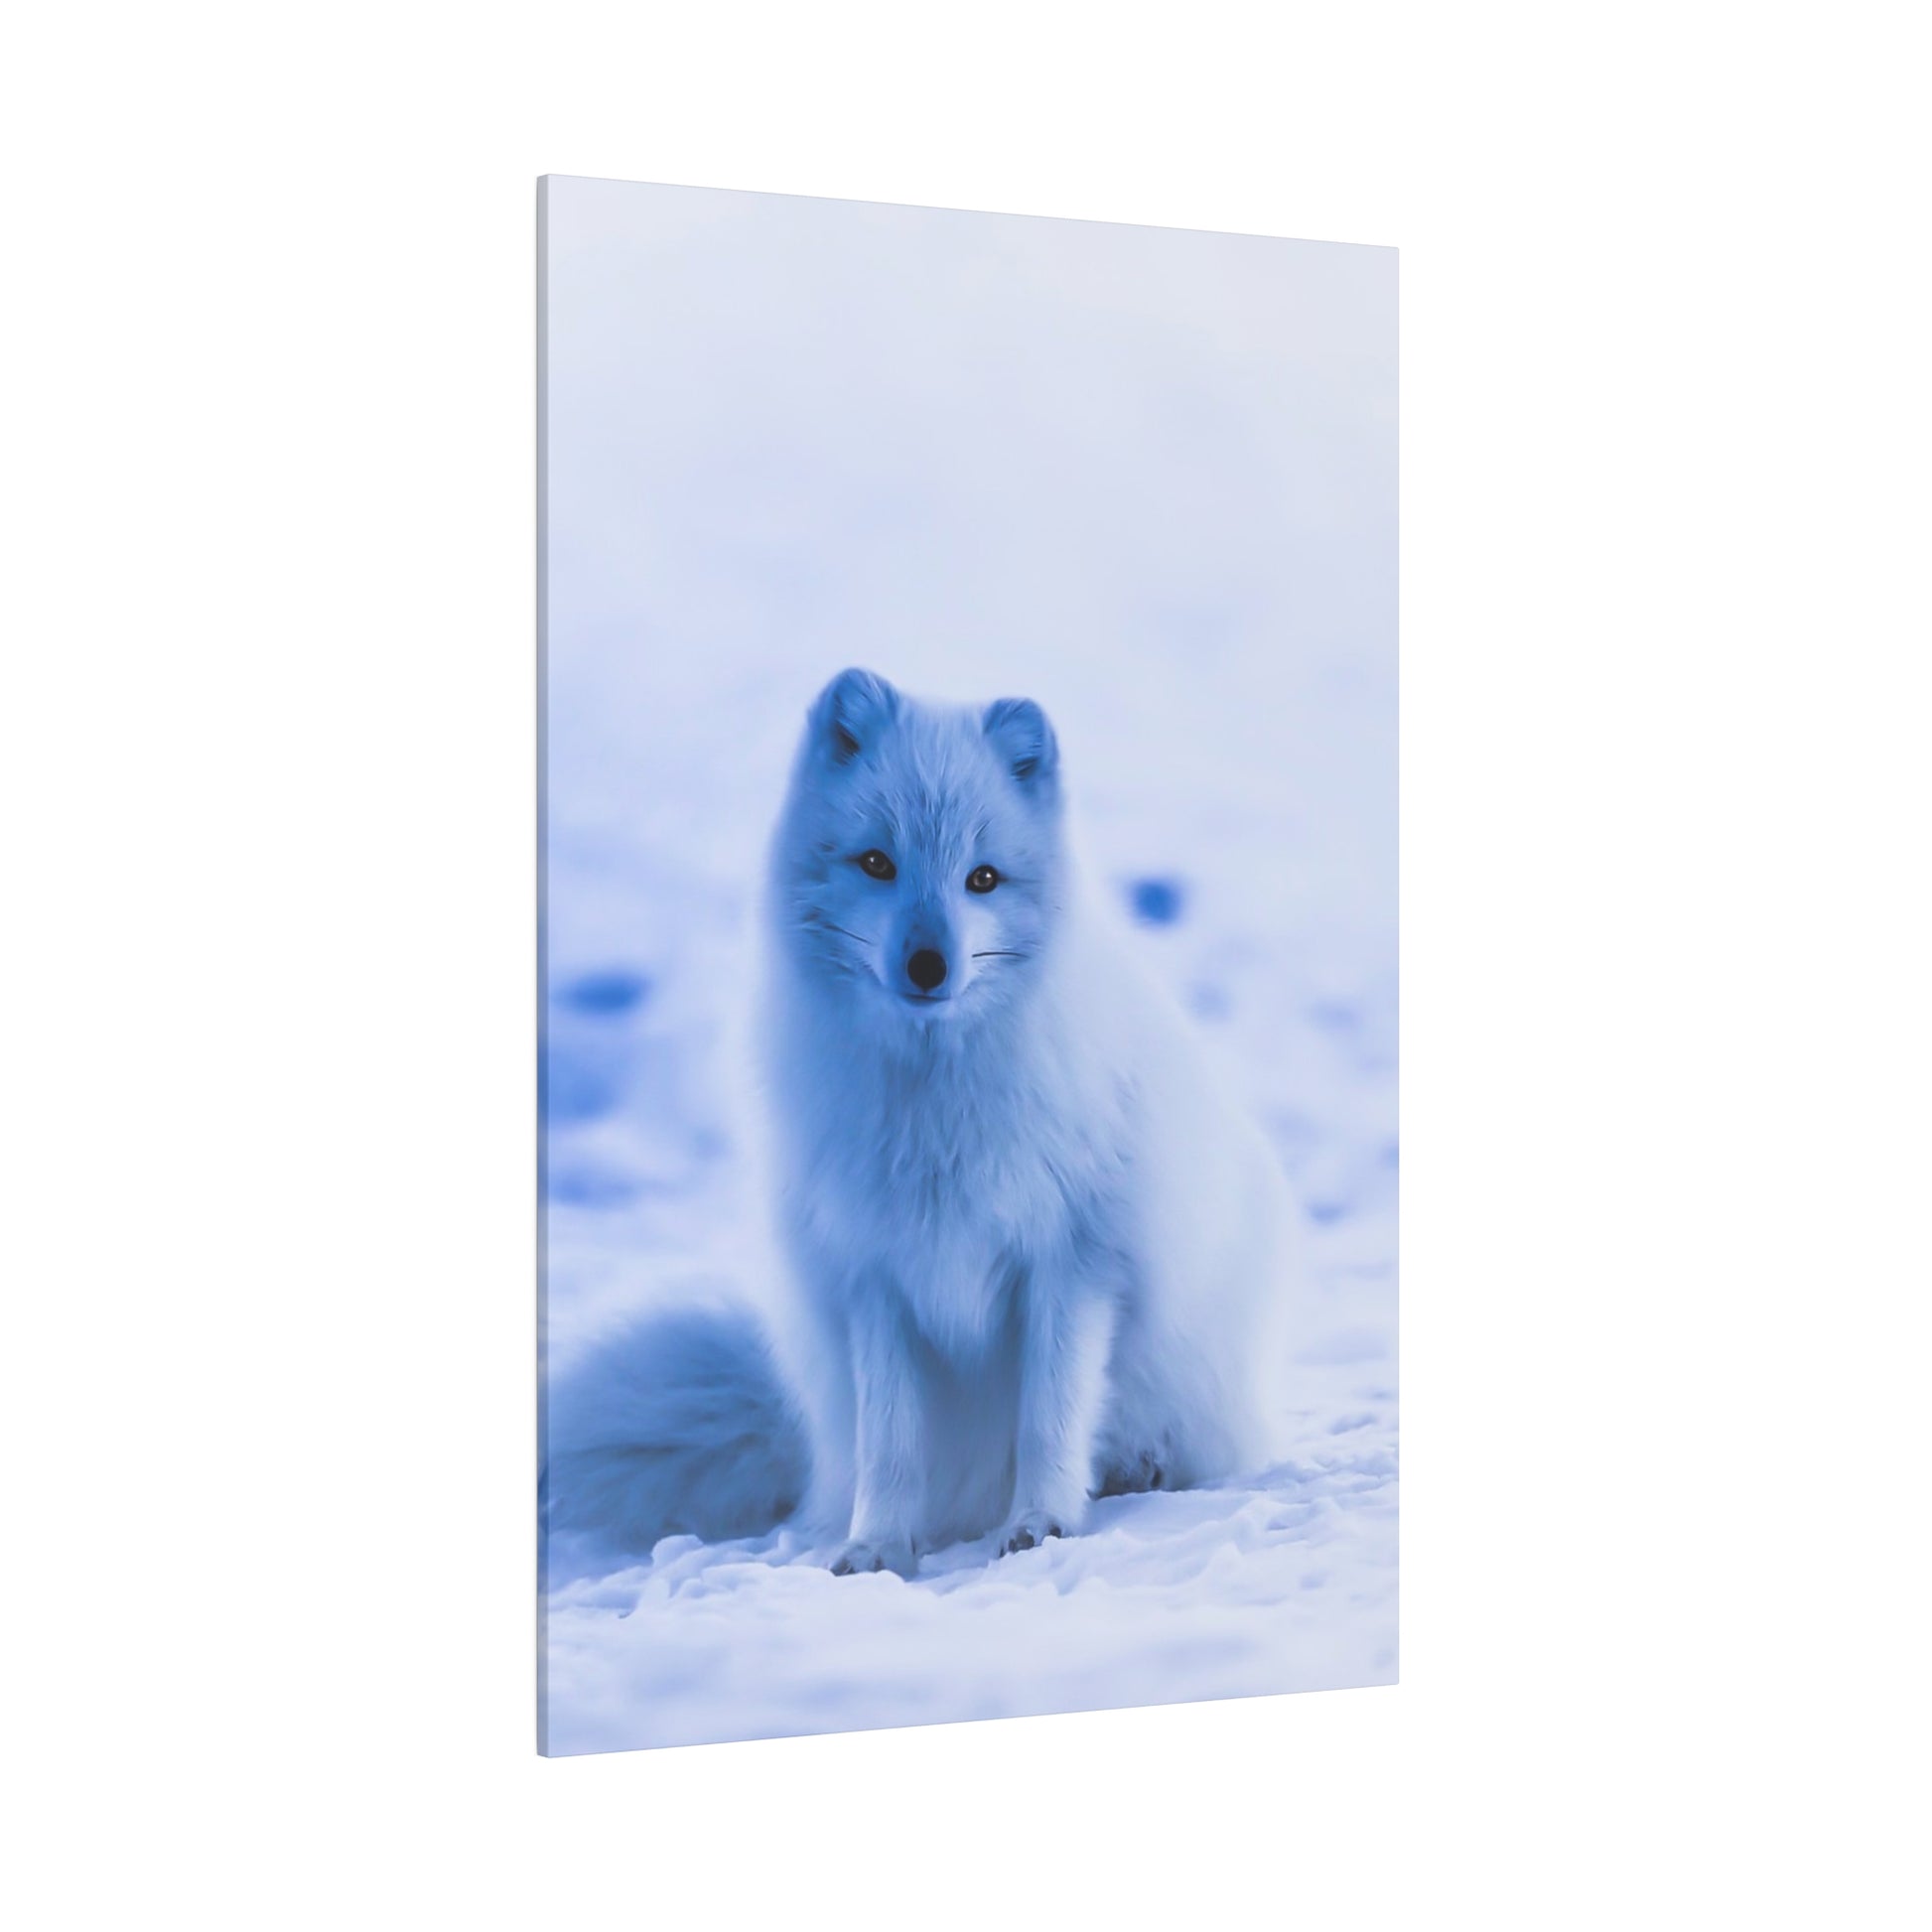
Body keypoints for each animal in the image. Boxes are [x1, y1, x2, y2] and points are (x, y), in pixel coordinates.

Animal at [544, 672, 1298, 1576]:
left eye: (983, 878)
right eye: (877, 862)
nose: (929, 964)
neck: (934, 1107)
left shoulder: (1073, 1264)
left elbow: (1050, 1418)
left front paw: (1041, 1524)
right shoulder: (874, 1276)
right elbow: (892, 1442)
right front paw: (876, 1546)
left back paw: (1136, 1468)